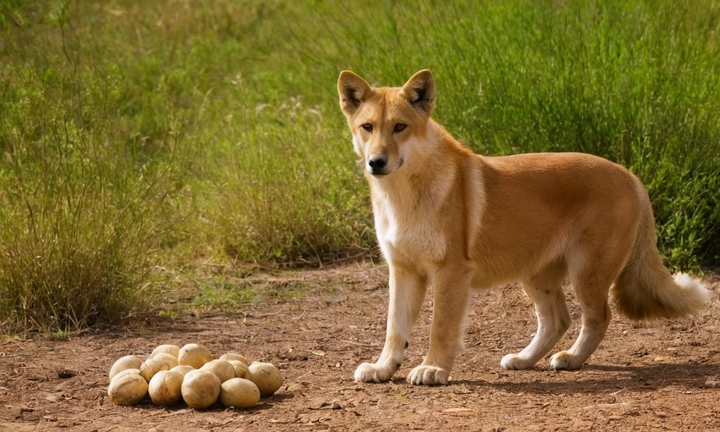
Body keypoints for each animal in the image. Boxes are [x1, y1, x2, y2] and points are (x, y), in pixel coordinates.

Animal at [336, 70, 708, 384]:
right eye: (367, 127)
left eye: (400, 127)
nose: (376, 162)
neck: (403, 193)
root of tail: (630, 176)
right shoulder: (403, 270)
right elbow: (394, 329)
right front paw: (383, 368)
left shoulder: (450, 273)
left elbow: (440, 328)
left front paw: (433, 369)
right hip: (537, 276)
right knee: (558, 320)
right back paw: (524, 359)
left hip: (587, 272)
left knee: (598, 318)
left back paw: (571, 359)